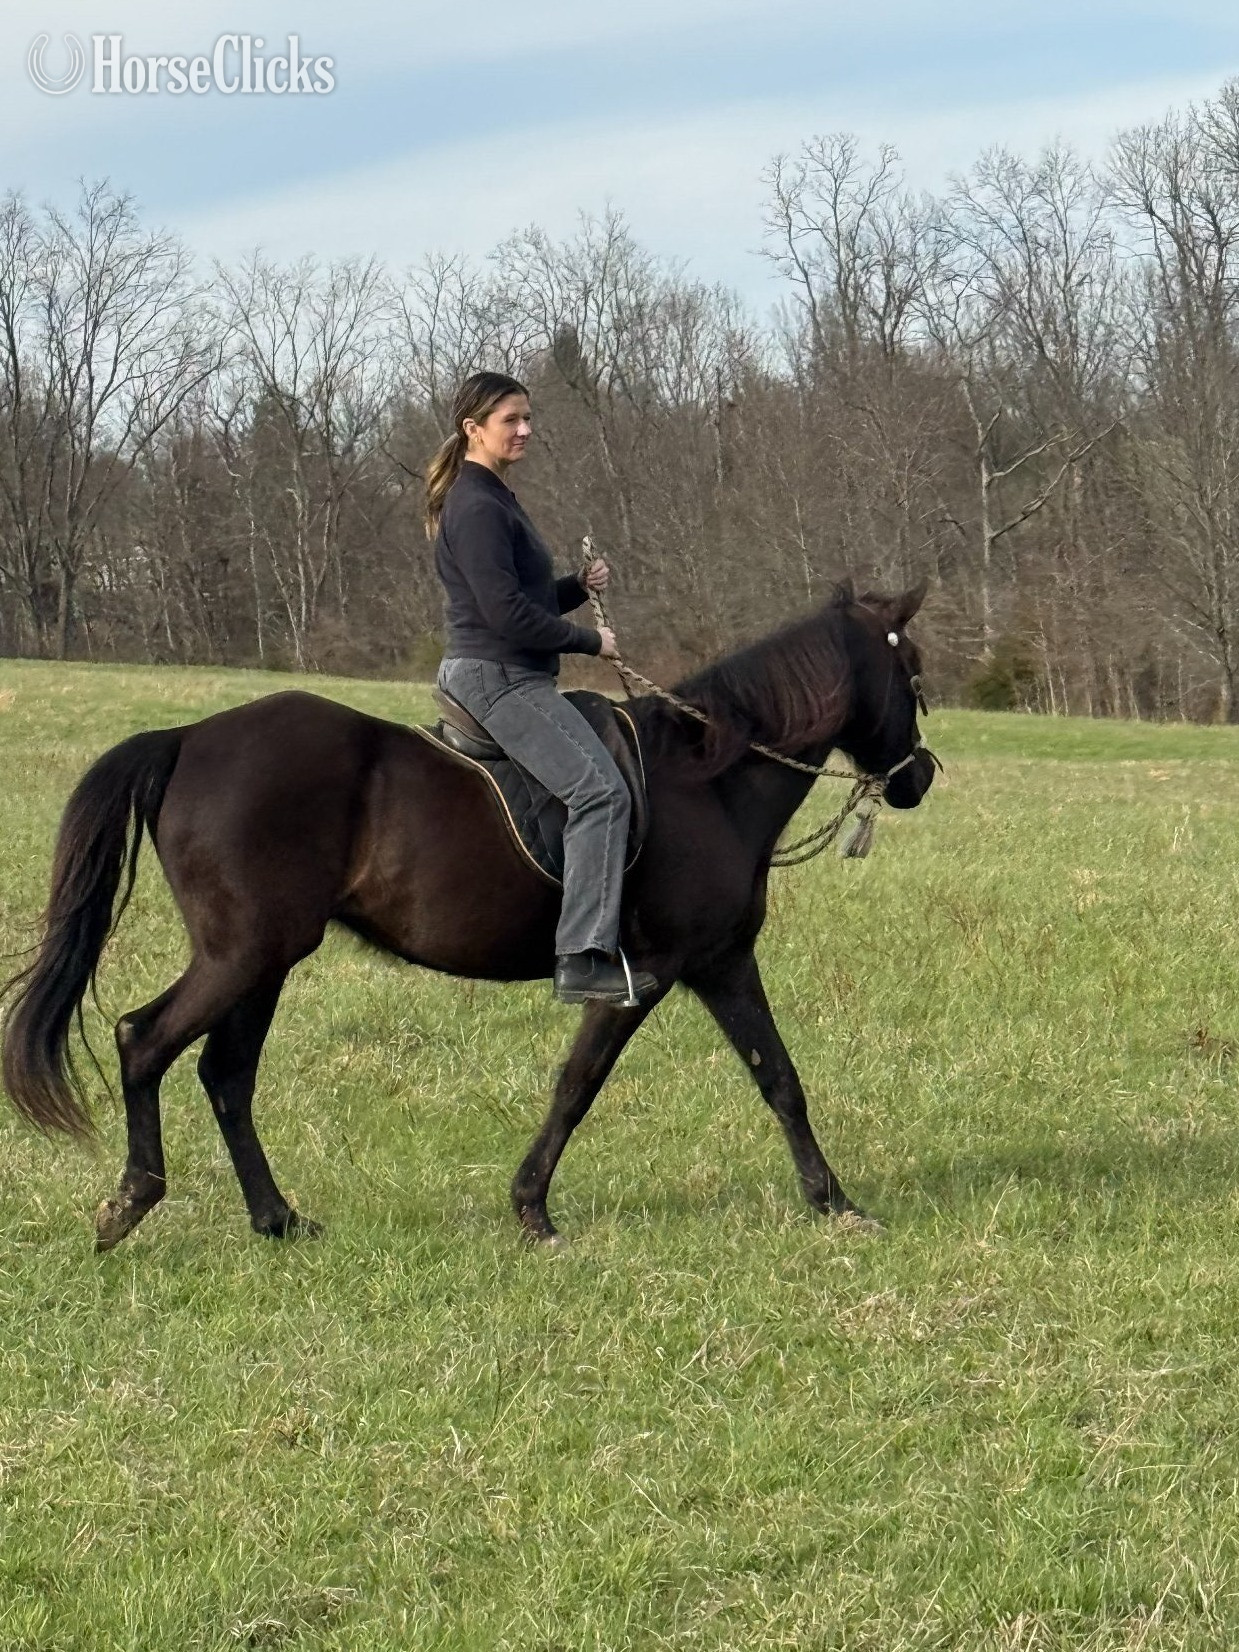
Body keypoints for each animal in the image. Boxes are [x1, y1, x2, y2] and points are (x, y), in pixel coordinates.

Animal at [1, 579, 935, 1250]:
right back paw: (131, 1202)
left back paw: (278, 1219)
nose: (919, 776)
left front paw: (834, 1202)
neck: (707, 782)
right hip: (243, 955)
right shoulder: (648, 971)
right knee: (143, 1040)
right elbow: (578, 1083)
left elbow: (778, 1077)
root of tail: (189, 737)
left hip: (261, 961)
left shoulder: (720, 962)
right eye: (913, 671)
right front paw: (531, 1210)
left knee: (225, 1076)